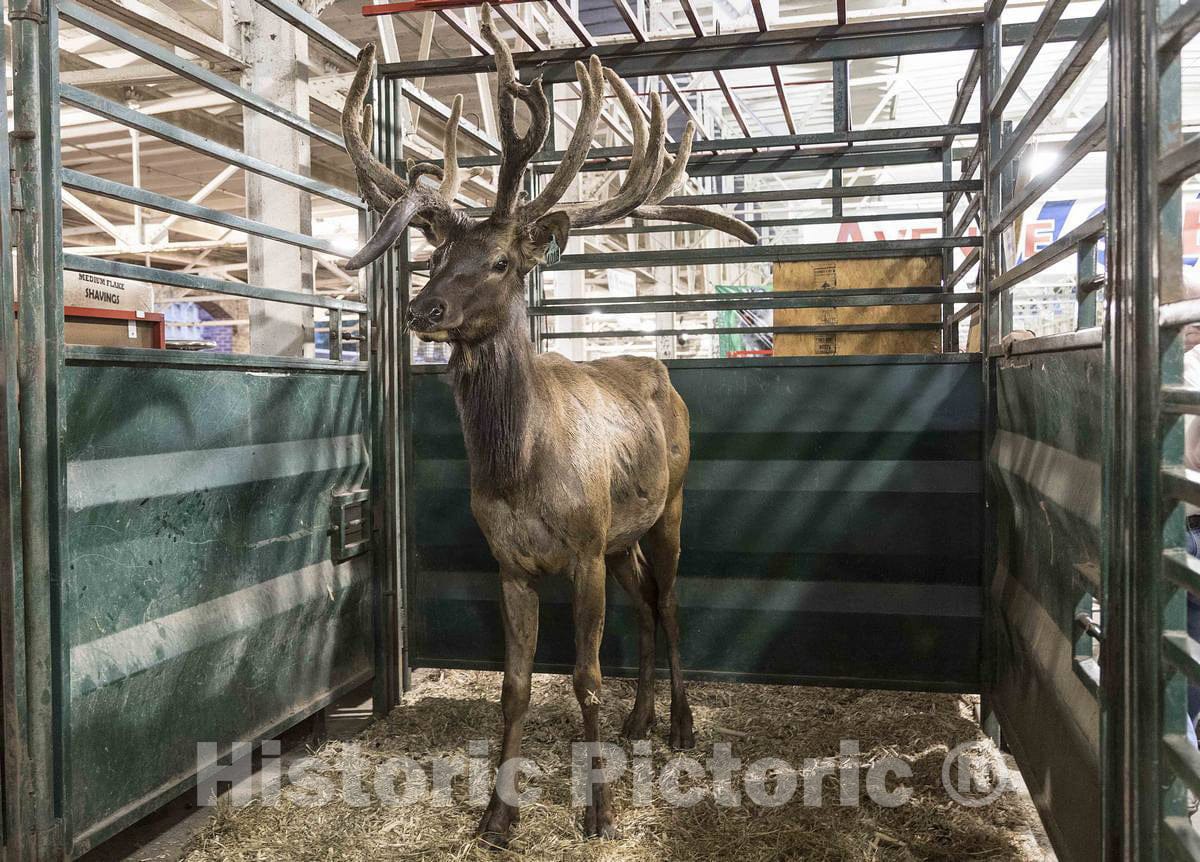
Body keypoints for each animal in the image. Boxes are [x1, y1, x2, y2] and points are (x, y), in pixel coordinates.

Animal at [339, 5, 756, 846]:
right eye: (434, 256)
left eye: (501, 262)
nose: (422, 308)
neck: (520, 472)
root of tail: (659, 368)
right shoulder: (511, 561)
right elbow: (517, 686)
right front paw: (497, 815)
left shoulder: (584, 548)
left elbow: (586, 678)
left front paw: (597, 811)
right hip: (624, 534)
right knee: (645, 605)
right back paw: (640, 720)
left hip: (670, 504)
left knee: (669, 603)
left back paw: (681, 724)